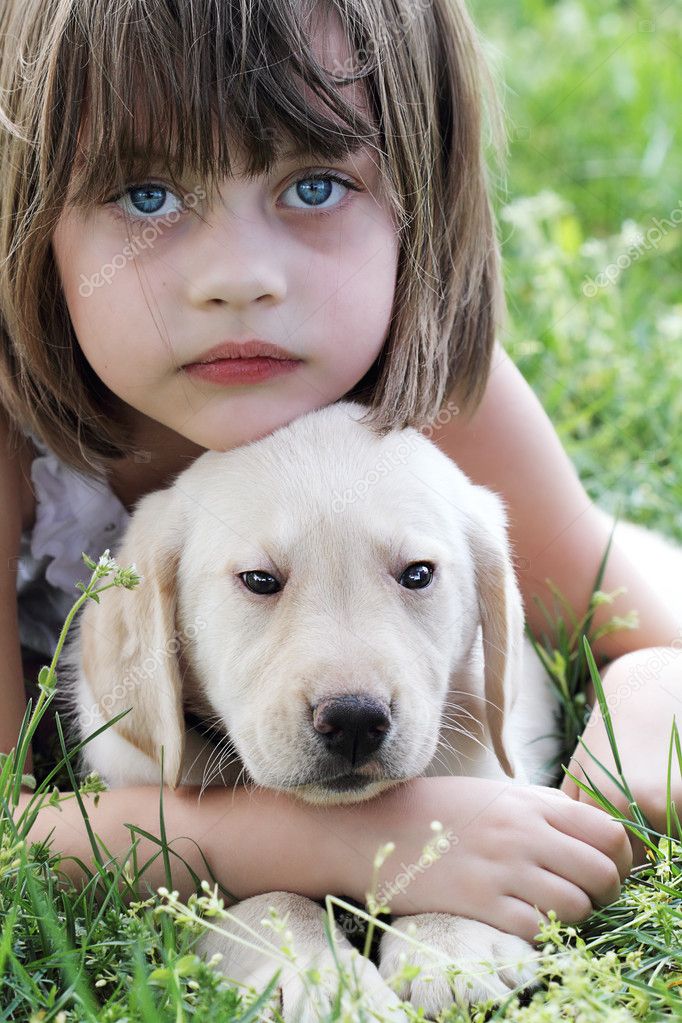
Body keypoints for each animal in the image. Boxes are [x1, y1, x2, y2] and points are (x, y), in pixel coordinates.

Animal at [61, 401, 670, 1023]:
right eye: (259, 580)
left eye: (418, 574)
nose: (354, 720)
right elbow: (264, 897)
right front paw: (322, 981)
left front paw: (451, 944)